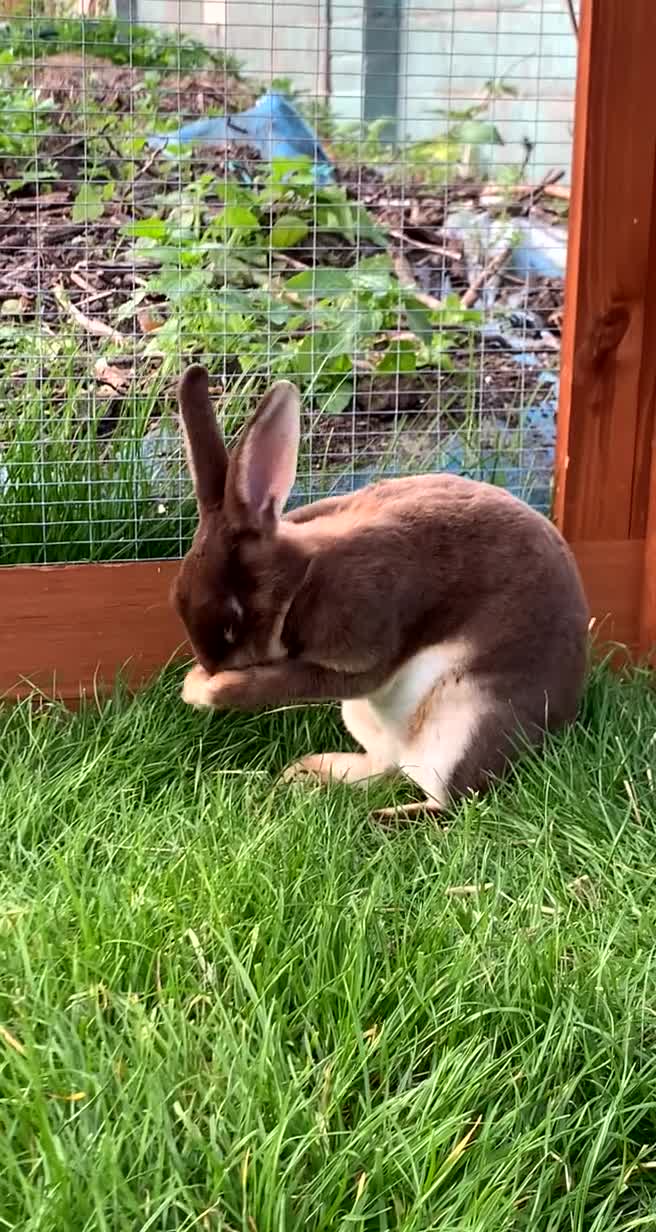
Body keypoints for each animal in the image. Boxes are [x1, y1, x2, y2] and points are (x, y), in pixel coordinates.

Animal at [173, 364, 589, 820]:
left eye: (232, 620)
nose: (210, 668)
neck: (300, 582)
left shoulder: (365, 652)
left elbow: (292, 681)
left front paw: (205, 691)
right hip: (367, 719)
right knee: (384, 768)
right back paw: (303, 774)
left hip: (468, 721)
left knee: (450, 804)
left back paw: (375, 818)